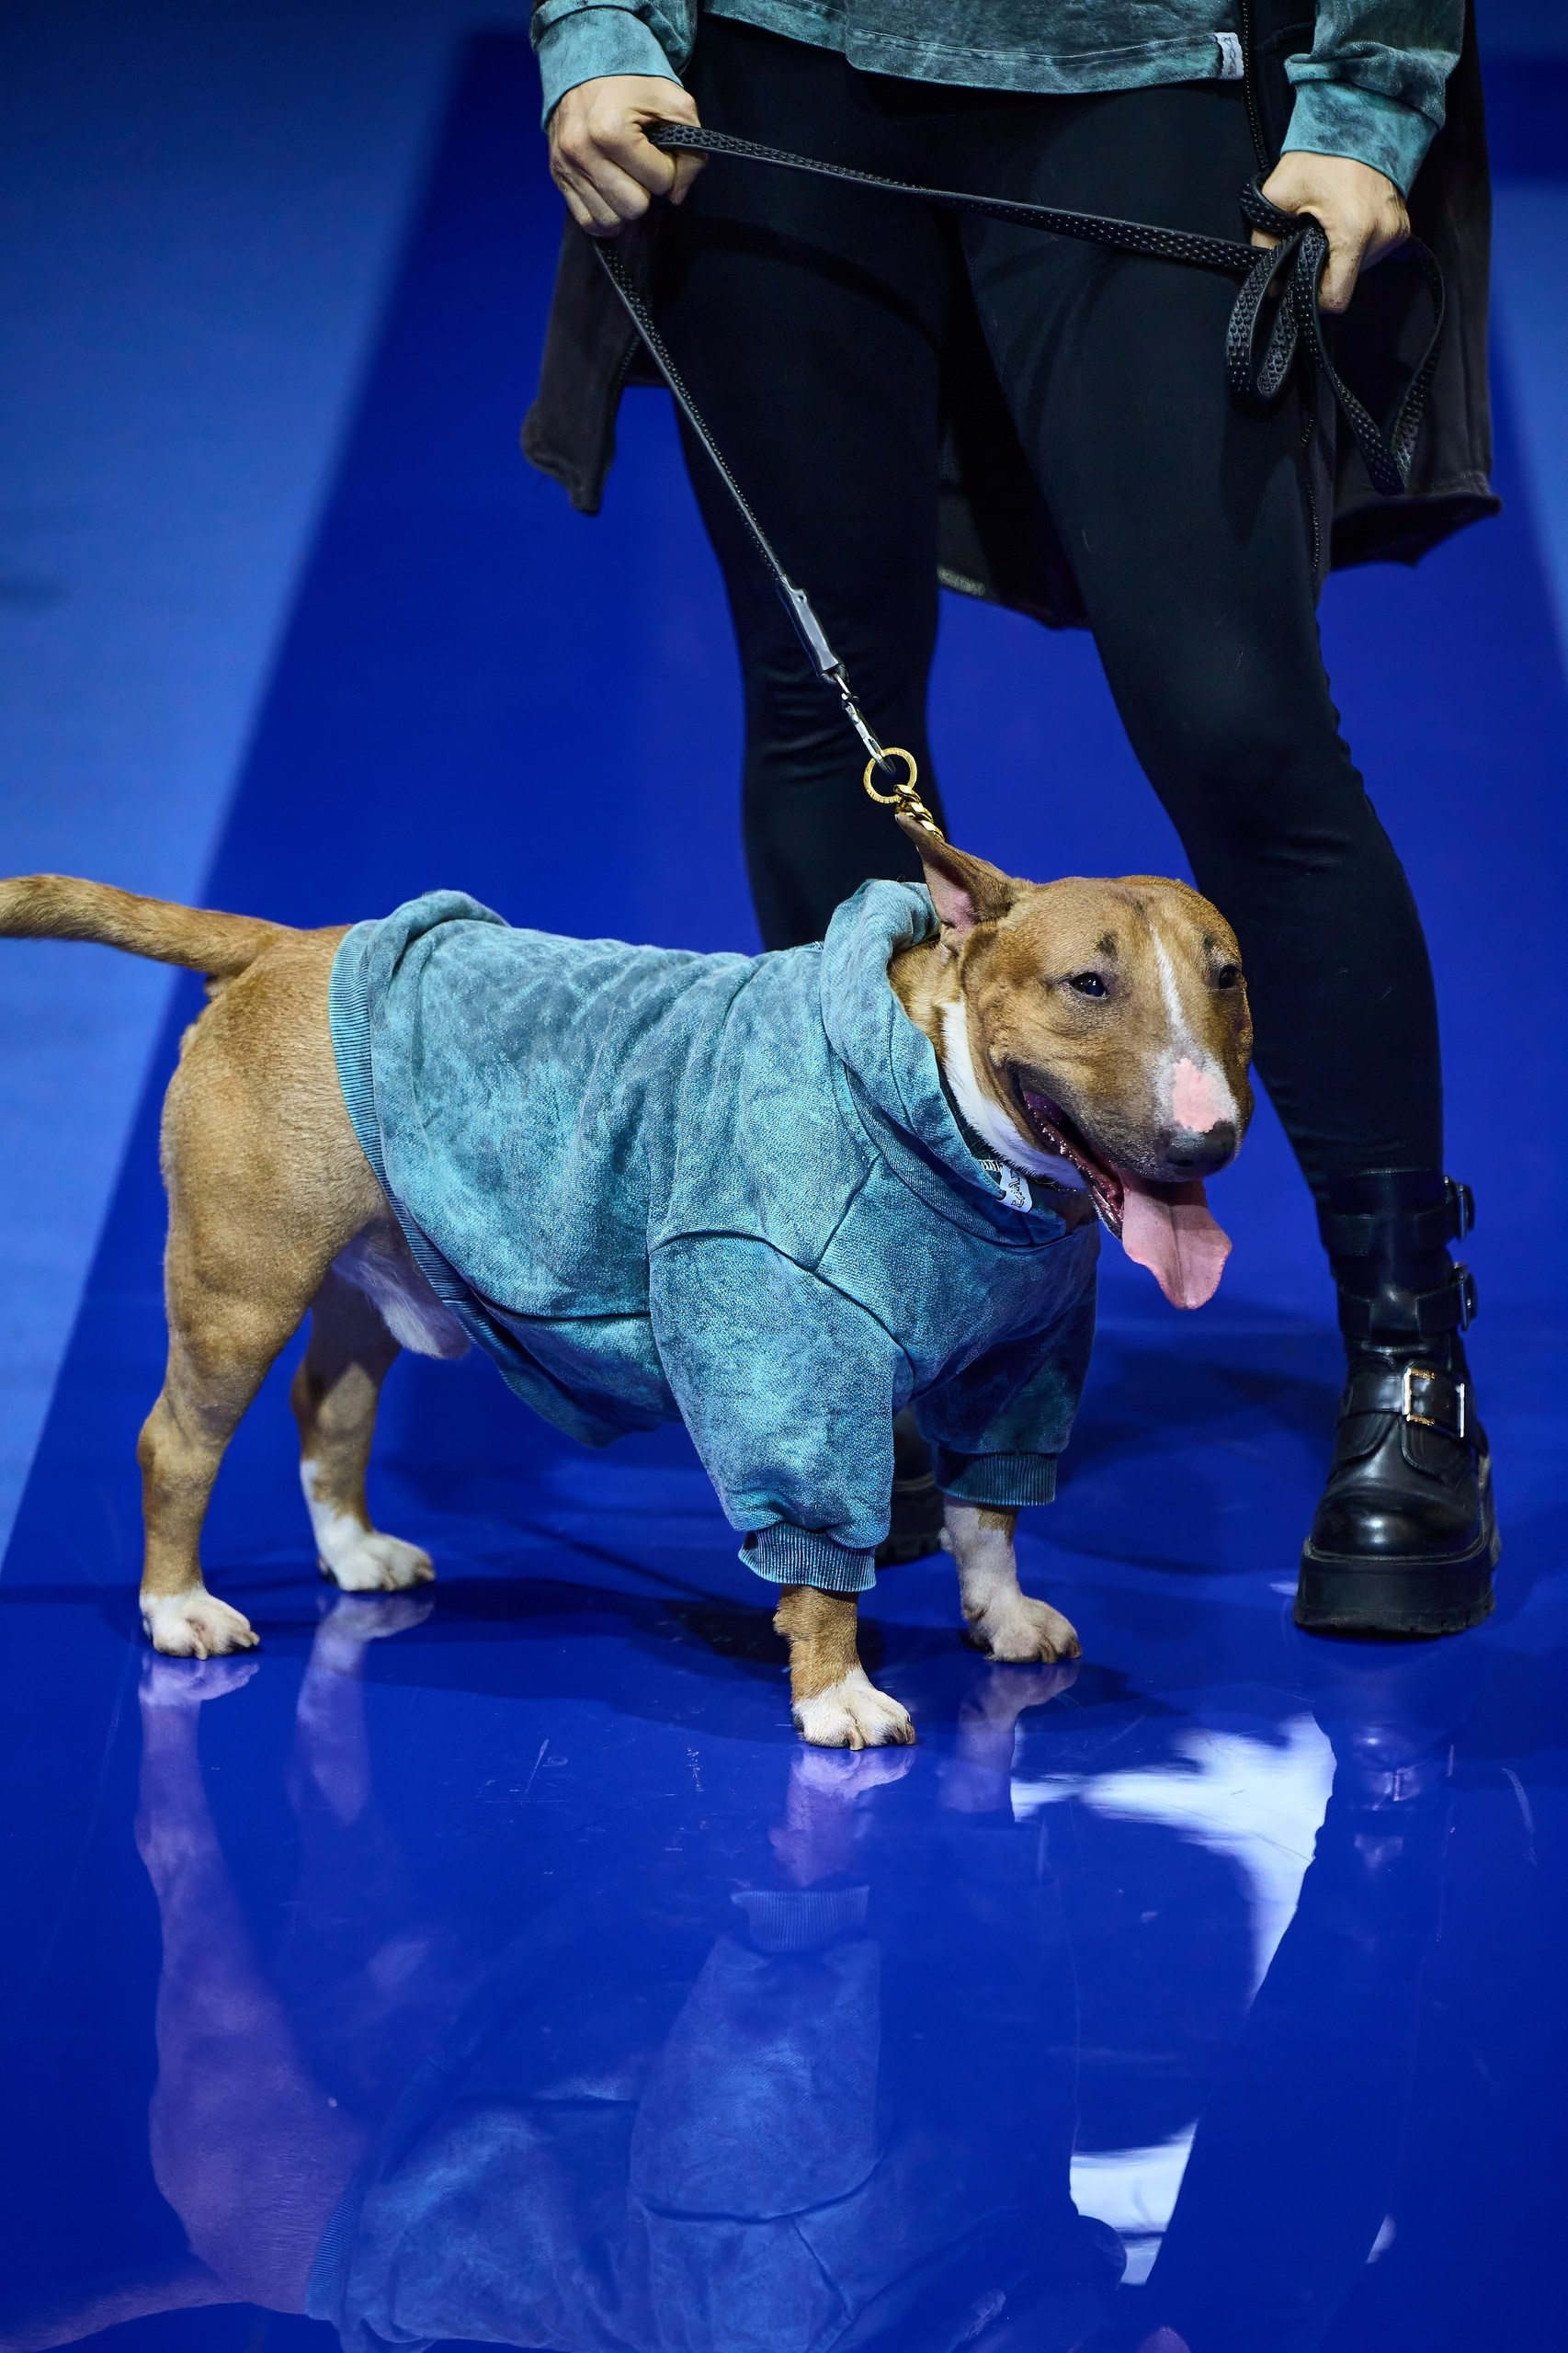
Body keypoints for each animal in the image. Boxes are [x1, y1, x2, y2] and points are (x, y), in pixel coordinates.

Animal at [0, 822, 1251, 1745]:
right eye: (1085, 983)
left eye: (1229, 978)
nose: (1207, 1141)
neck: (940, 1105)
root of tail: (279, 944)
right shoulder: (790, 1365)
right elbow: (819, 1551)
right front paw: (835, 1692)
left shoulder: (1021, 1366)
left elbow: (987, 1509)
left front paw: (998, 1614)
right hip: (238, 1289)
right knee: (177, 1444)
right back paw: (178, 1608)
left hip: (373, 1268)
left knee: (329, 1404)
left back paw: (355, 1552)